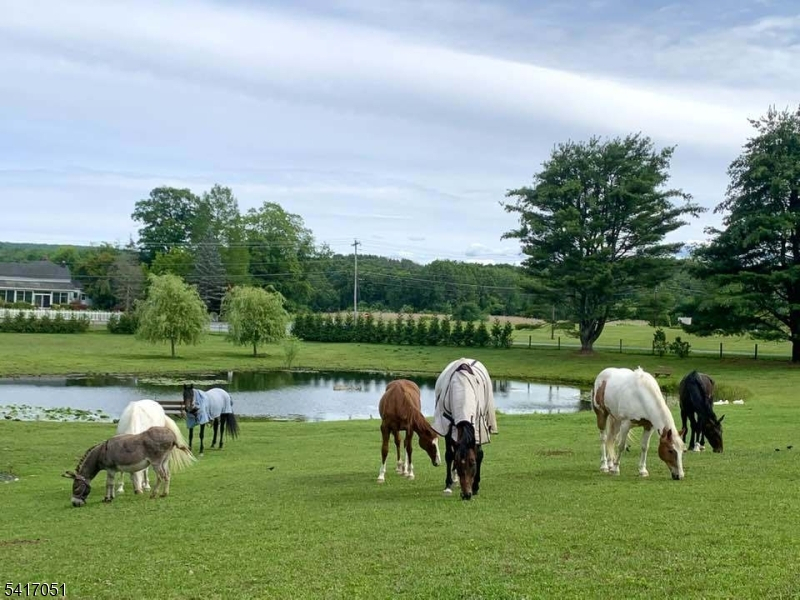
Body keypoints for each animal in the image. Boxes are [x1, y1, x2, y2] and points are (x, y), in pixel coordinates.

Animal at [63, 425, 196, 507]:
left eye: (76, 487)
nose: (74, 503)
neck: (101, 452)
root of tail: (172, 436)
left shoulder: (110, 469)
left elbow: (108, 483)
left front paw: (107, 499)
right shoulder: (113, 470)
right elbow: (112, 483)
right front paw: (111, 496)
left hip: (156, 462)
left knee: (161, 477)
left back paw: (155, 494)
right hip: (165, 460)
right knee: (167, 475)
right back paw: (164, 493)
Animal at [432, 358, 498, 500]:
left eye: (472, 463)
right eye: (457, 464)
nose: (466, 495)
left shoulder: (477, 426)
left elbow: (479, 454)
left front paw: (476, 486)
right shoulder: (447, 425)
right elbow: (449, 455)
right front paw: (448, 484)